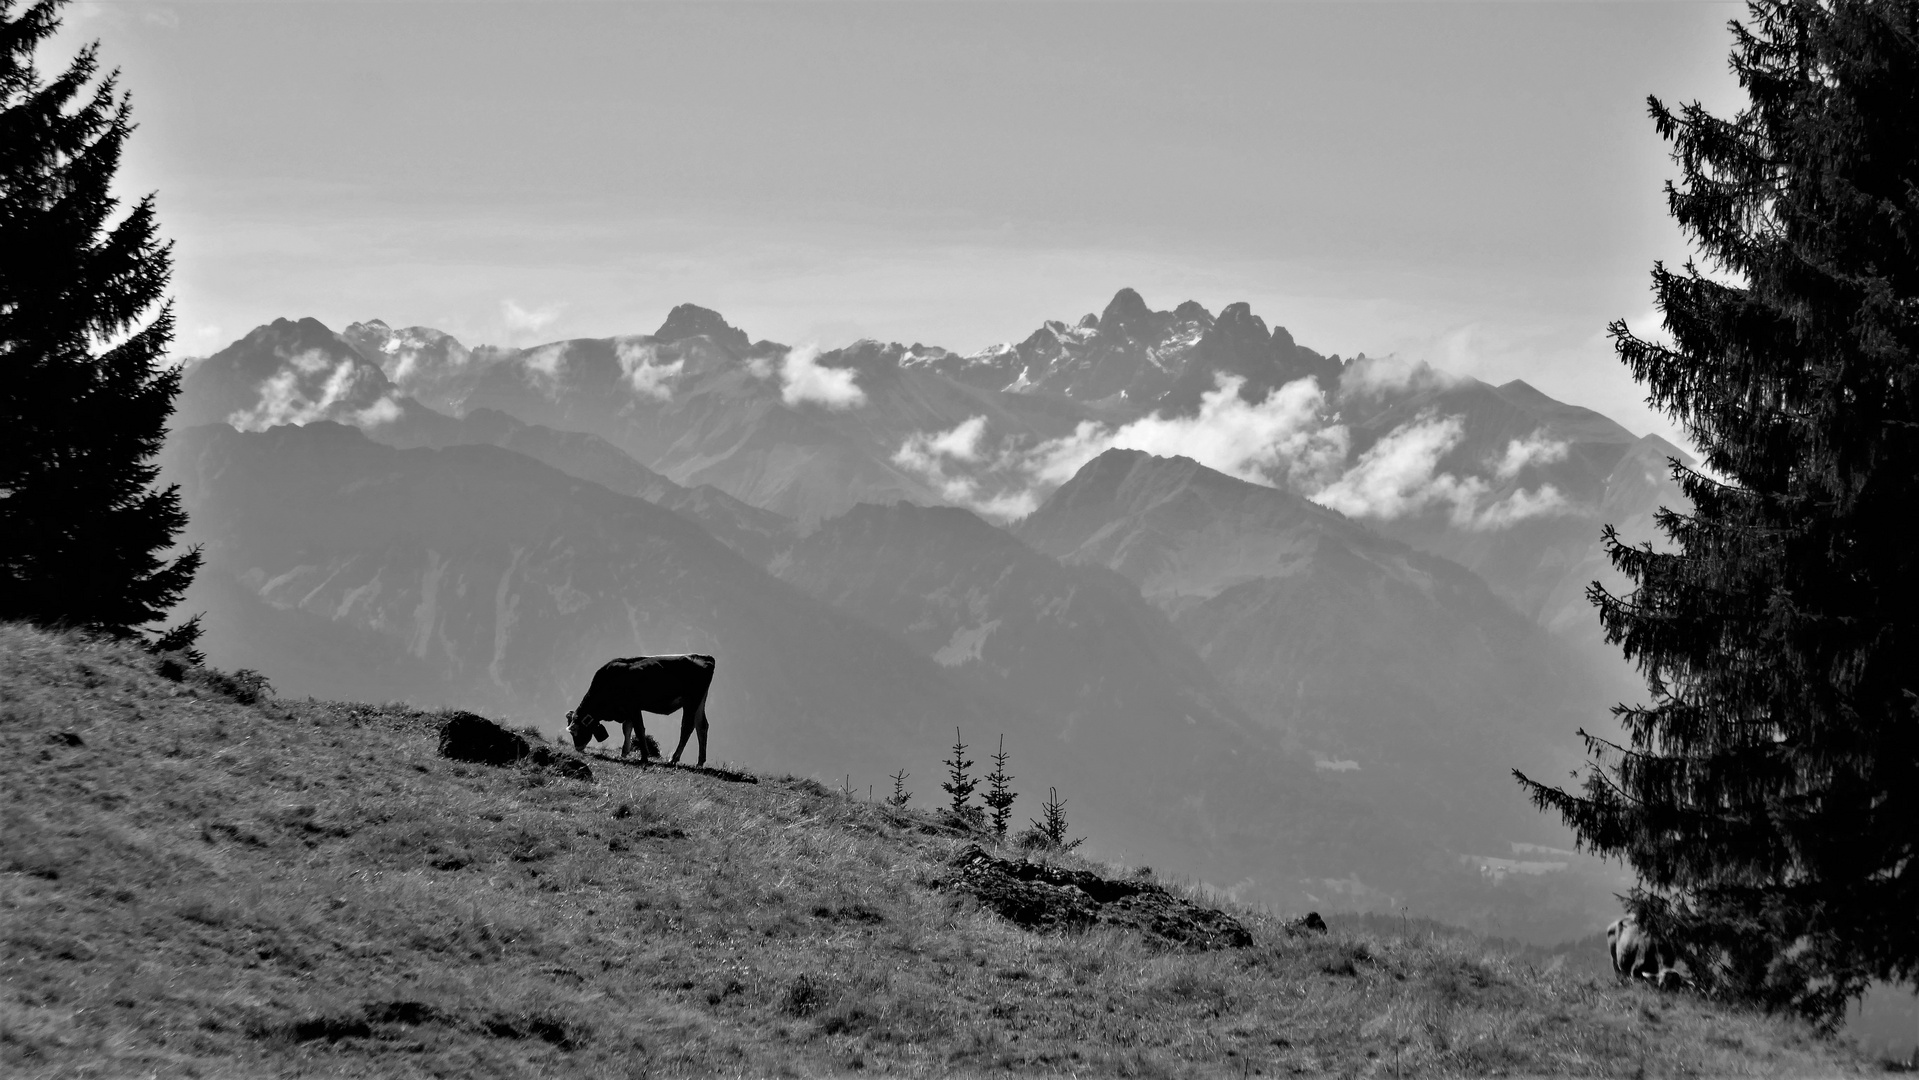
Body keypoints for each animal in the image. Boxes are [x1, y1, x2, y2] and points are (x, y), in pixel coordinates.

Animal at [571, 652, 721, 767]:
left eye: (575, 731)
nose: (577, 748)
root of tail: (704, 657)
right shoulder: (627, 710)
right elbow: (627, 728)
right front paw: (624, 752)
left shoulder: (633, 706)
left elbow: (638, 729)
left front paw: (644, 757)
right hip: (700, 701)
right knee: (702, 726)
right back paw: (700, 762)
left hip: (691, 701)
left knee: (687, 726)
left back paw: (673, 759)